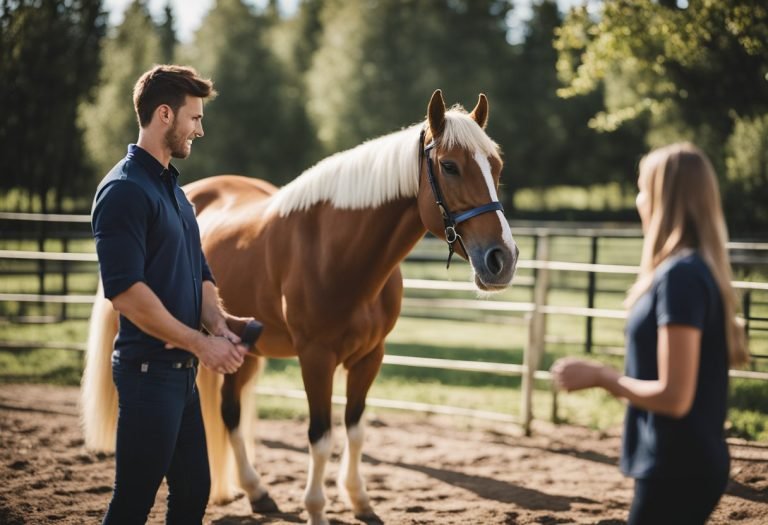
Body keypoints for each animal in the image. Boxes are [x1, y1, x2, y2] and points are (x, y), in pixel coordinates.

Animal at [81, 91, 520, 524]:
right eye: (449, 166)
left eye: (497, 166)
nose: (503, 259)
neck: (339, 252)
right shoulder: (316, 358)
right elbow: (320, 436)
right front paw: (316, 508)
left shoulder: (369, 357)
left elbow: (356, 429)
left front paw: (360, 500)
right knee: (229, 416)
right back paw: (256, 490)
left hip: (245, 351)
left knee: (230, 415)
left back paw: (257, 493)